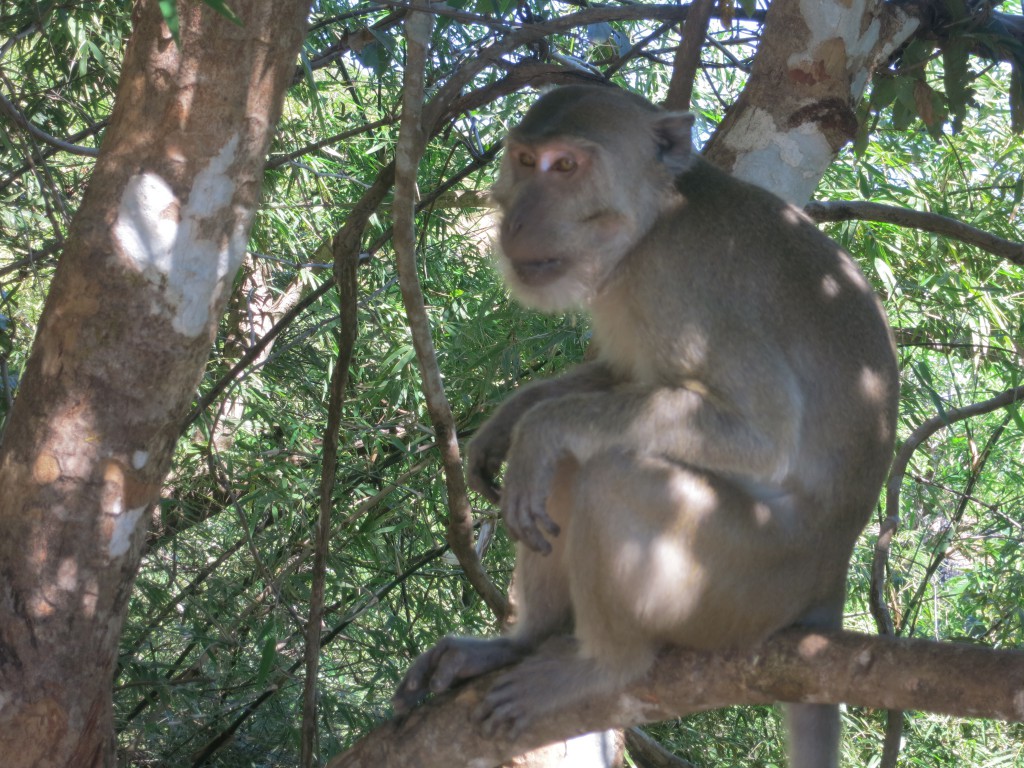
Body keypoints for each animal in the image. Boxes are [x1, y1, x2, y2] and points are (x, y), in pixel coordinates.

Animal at [391, 83, 897, 768]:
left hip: (746, 580)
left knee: (612, 476)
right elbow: (618, 374)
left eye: (566, 166)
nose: (514, 220)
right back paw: (521, 642)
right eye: (523, 161)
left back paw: (605, 667)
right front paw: (508, 421)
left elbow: (764, 436)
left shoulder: (683, 290)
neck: (657, 221)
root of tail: (827, 584)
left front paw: (537, 429)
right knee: (576, 468)